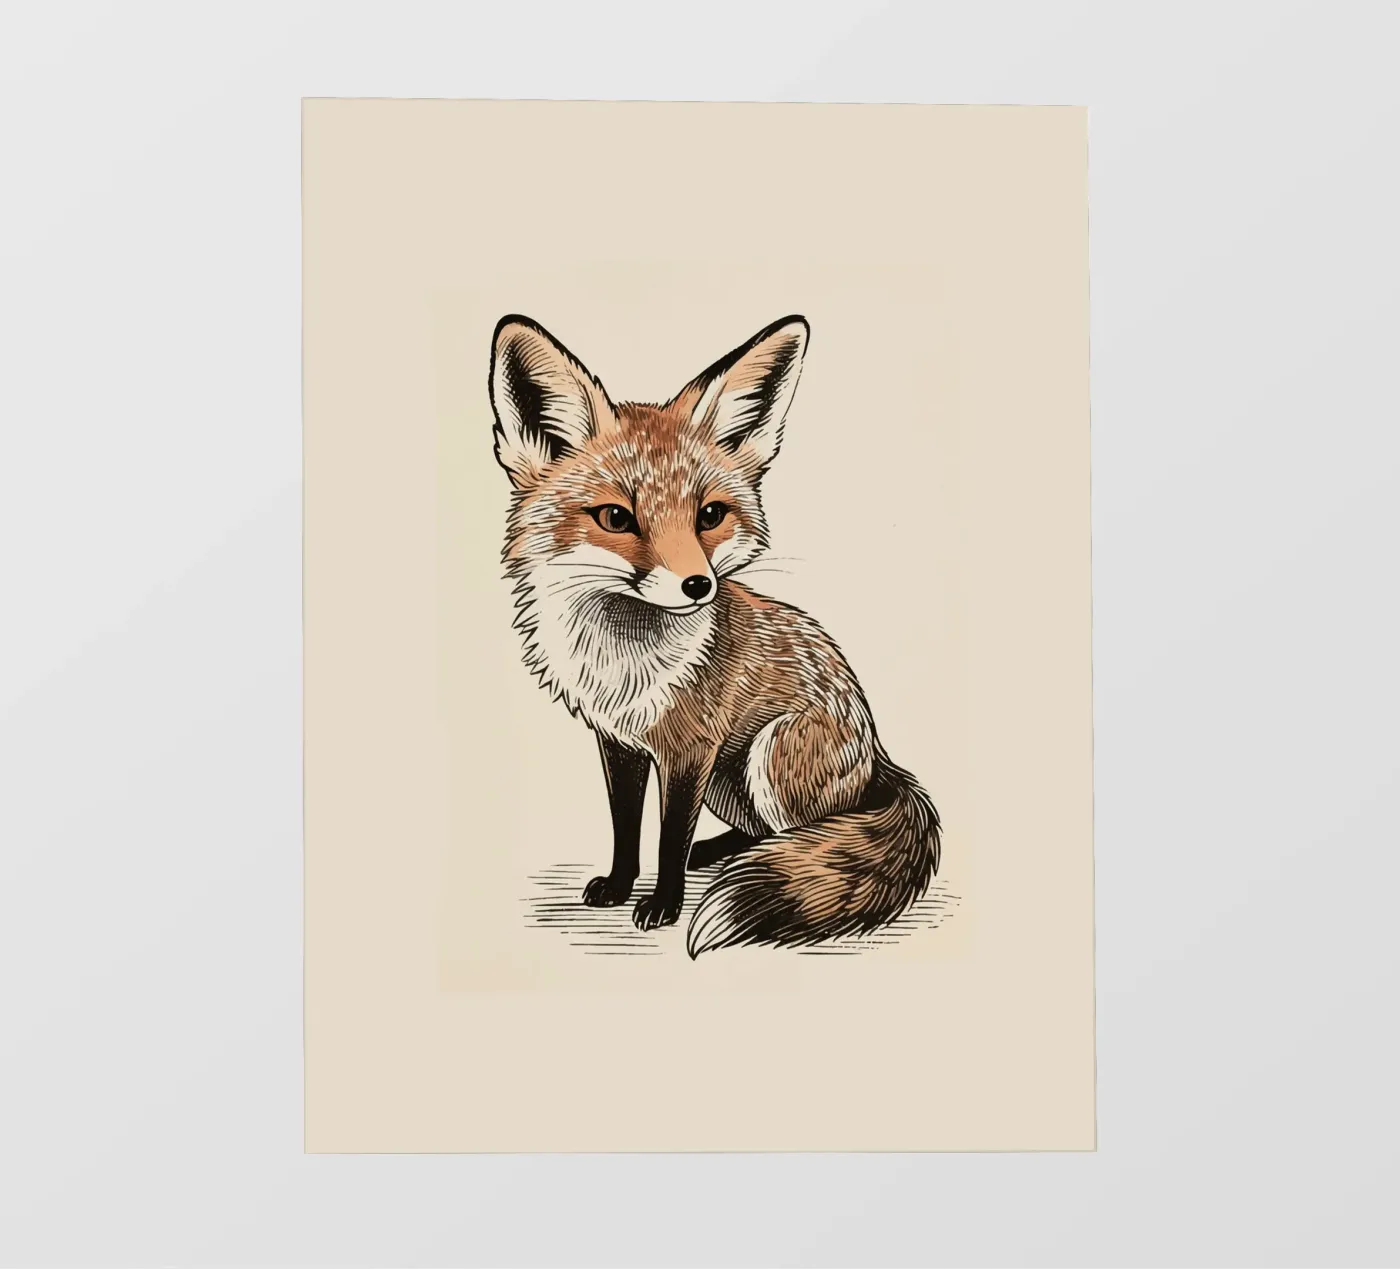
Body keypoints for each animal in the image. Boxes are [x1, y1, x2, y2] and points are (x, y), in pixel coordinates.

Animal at [487, 313, 940, 956]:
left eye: (709, 516)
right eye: (616, 518)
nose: (698, 585)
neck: (623, 662)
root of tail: (880, 756)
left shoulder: (691, 749)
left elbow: (669, 836)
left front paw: (663, 905)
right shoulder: (621, 743)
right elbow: (627, 827)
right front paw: (620, 886)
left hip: (768, 755)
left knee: (811, 836)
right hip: (733, 780)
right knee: (763, 833)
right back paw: (722, 853)